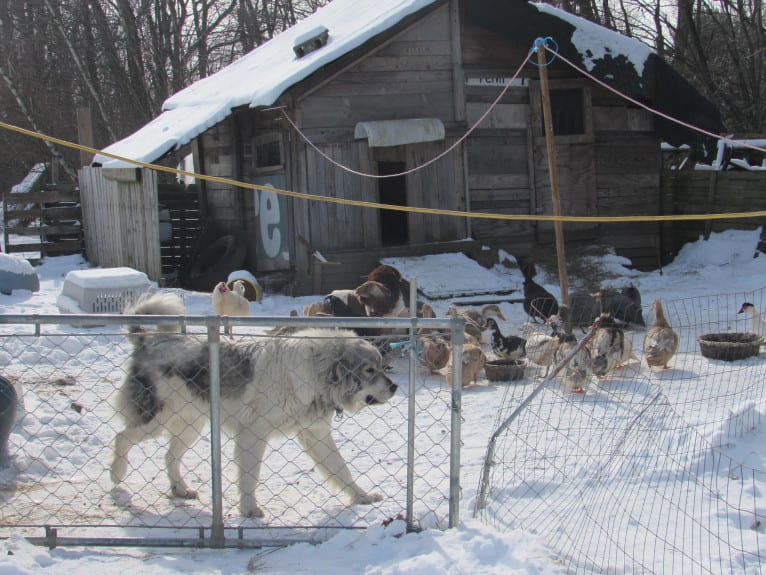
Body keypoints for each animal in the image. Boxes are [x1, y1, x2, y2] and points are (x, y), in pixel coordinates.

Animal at [111, 292, 400, 516]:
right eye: (369, 370)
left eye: (382, 366)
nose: (394, 387)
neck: (316, 374)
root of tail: (146, 340)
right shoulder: (253, 434)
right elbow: (250, 476)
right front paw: (249, 510)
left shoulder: (316, 434)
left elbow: (342, 470)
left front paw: (362, 497)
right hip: (156, 421)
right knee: (121, 437)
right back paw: (117, 473)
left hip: (190, 425)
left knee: (169, 456)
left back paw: (181, 489)